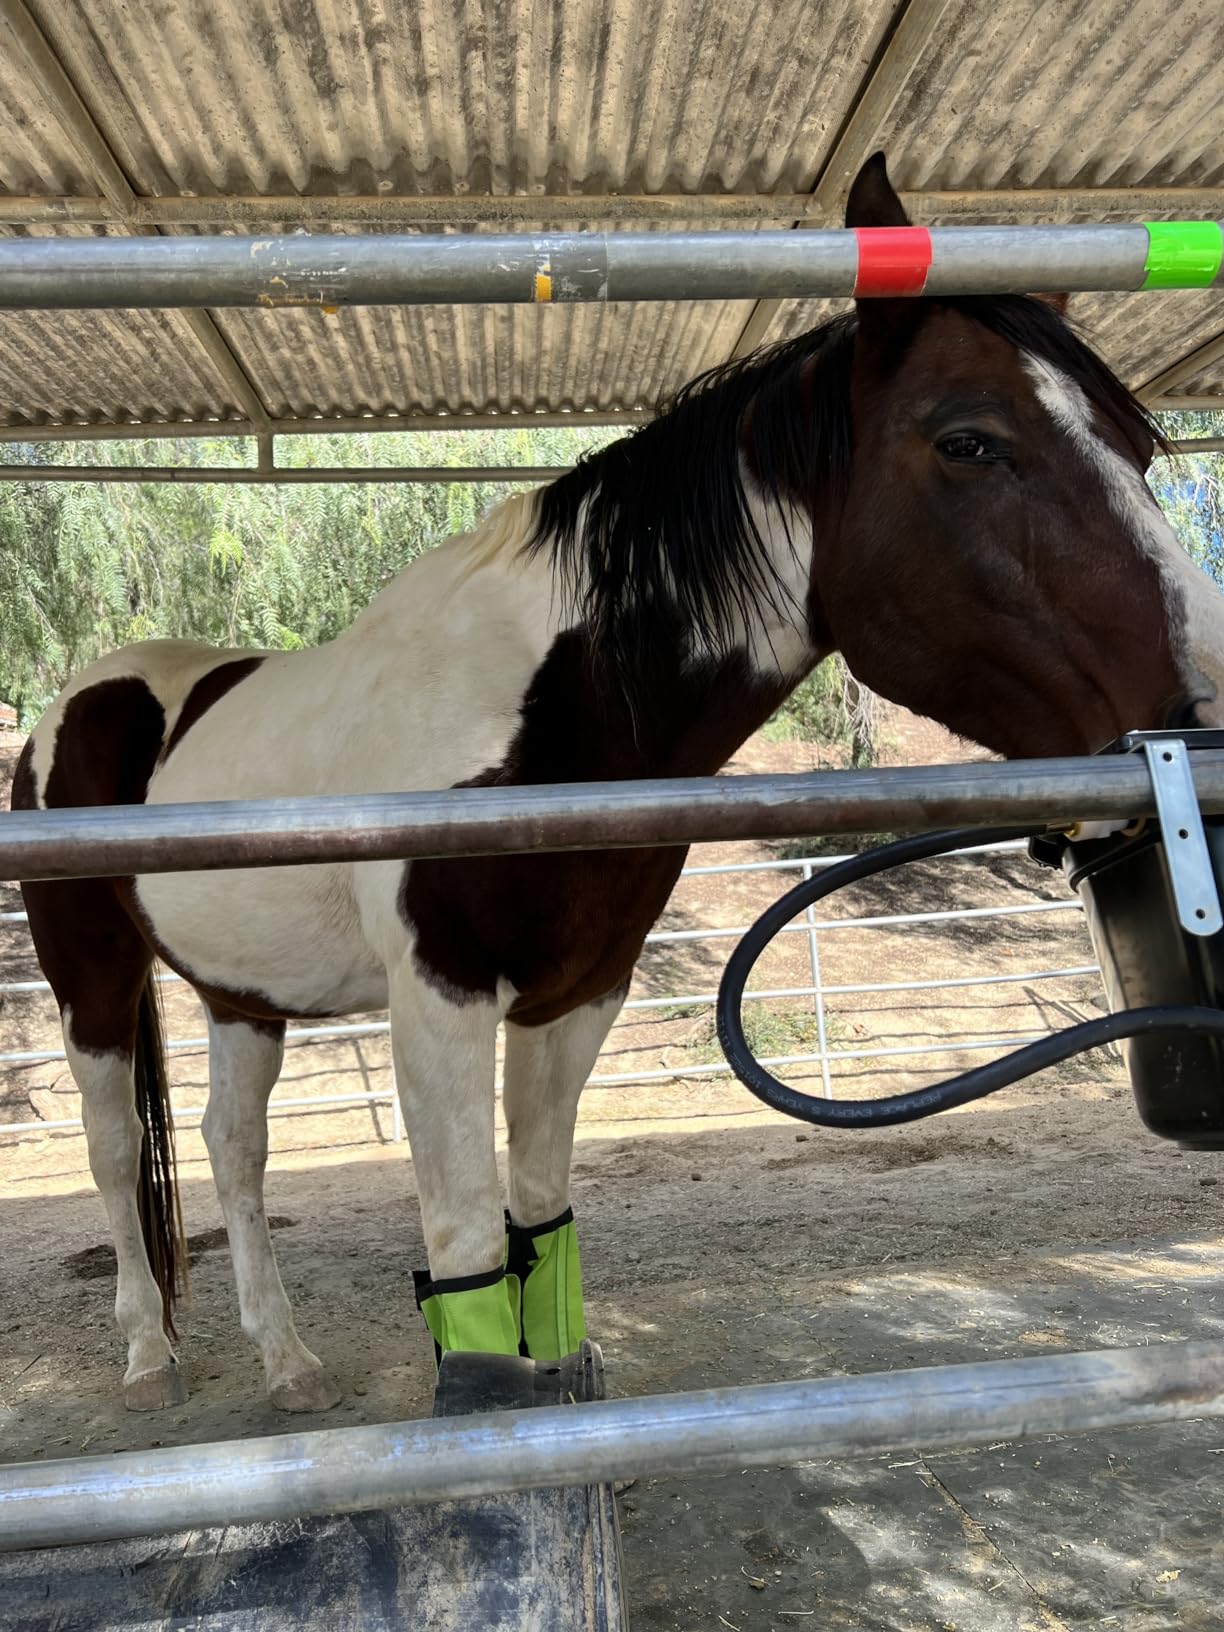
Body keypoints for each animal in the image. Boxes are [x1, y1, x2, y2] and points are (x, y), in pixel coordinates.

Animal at [11, 153, 1224, 1414]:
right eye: (970, 442)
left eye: (1140, 445)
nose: (1207, 711)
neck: (550, 720)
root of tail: (79, 700)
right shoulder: (439, 998)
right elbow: (465, 1244)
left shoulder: (578, 995)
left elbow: (538, 1216)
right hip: (92, 983)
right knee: (116, 1150)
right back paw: (147, 1356)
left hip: (242, 996)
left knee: (231, 1151)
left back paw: (287, 1360)